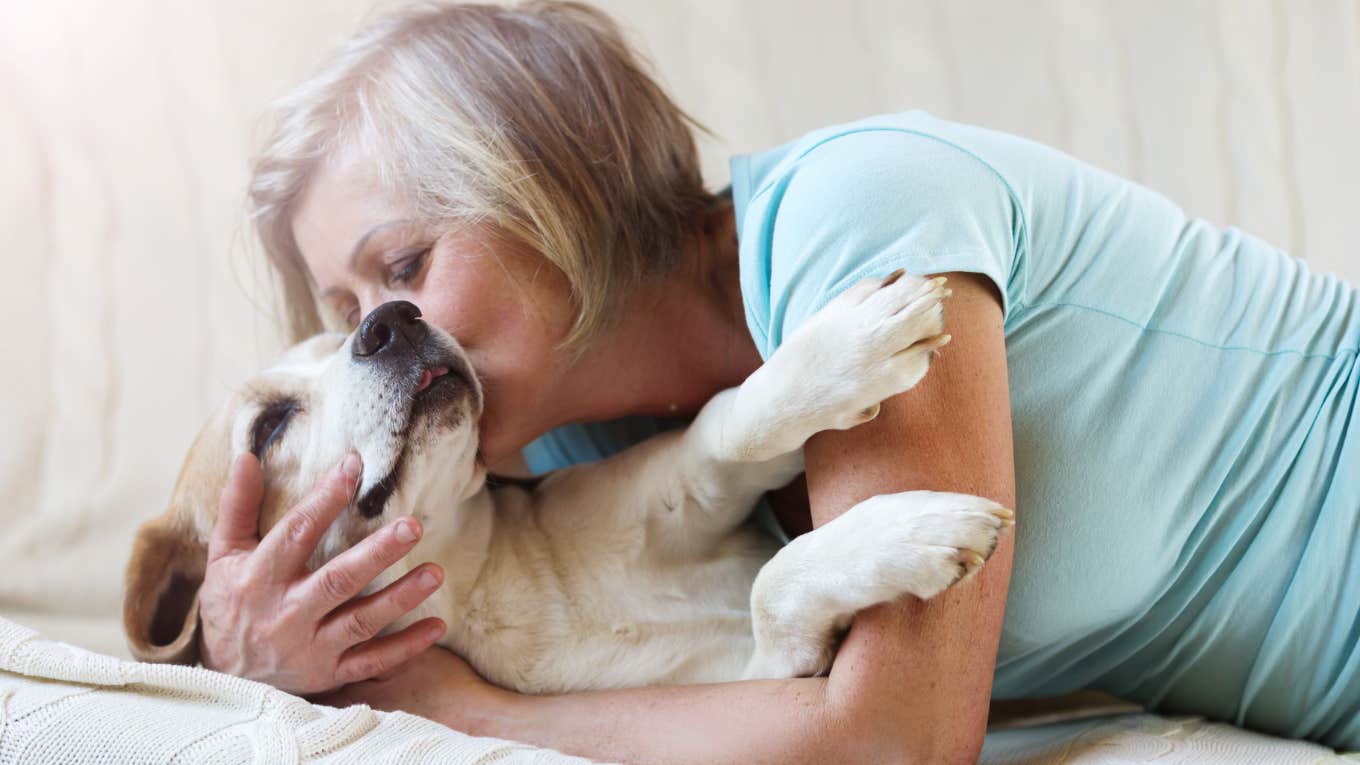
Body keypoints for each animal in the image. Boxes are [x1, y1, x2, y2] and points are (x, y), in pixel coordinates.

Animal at [125, 269, 1011, 691]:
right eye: (270, 426)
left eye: (344, 328)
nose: (392, 320)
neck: (484, 573)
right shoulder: (756, 681)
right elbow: (773, 590)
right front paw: (913, 534)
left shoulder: (689, 480)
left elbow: (734, 419)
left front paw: (844, 352)